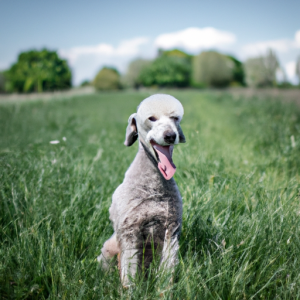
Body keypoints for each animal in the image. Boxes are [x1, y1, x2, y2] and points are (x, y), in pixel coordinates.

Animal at [97, 94, 185, 288]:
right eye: (151, 118)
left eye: (175, 118)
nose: (170, 135)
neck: (153, 187)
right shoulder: (130, 231)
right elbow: (129, 273)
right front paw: (131, 291)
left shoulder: (171, 231)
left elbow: (167, 270)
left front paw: (164, 290)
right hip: (109, 248)